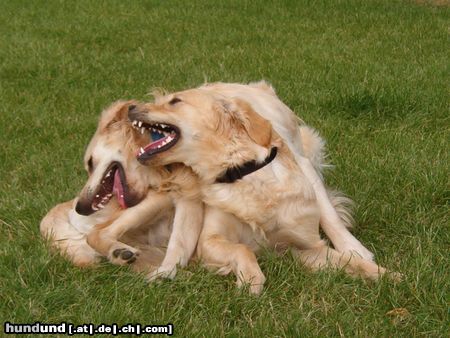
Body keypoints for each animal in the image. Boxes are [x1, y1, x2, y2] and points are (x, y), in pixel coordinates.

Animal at [128, 82, 396, 294]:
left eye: (175, 101)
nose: (130, 107)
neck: (241, 172)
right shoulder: (210, 240)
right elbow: (242, 249)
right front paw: (251, 279)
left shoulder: (306, 247)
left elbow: (350, 262)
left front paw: (389, 276)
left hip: (305, 156)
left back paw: (355, 247)